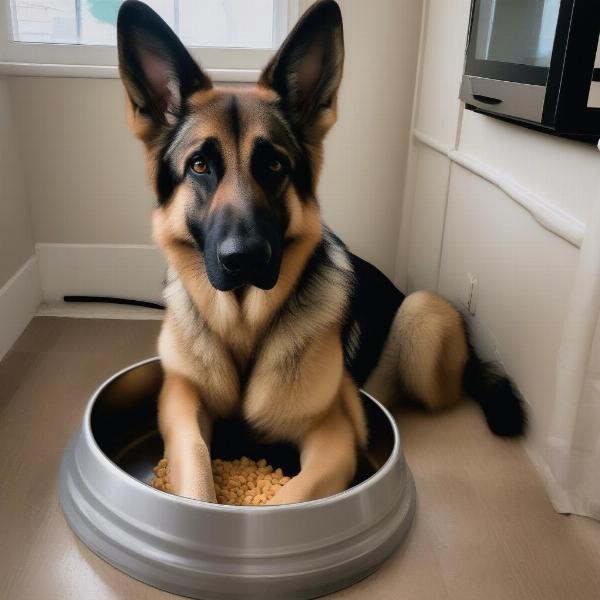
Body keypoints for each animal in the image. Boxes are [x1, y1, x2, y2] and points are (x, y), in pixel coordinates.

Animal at [117, 0, 524, 504]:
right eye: (199, 166)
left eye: (274, 165)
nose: (245, 259)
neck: (244, 327)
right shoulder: (179, 401)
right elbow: (194, 466)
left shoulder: (333, 438)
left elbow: (291, 499)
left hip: (421, 314)